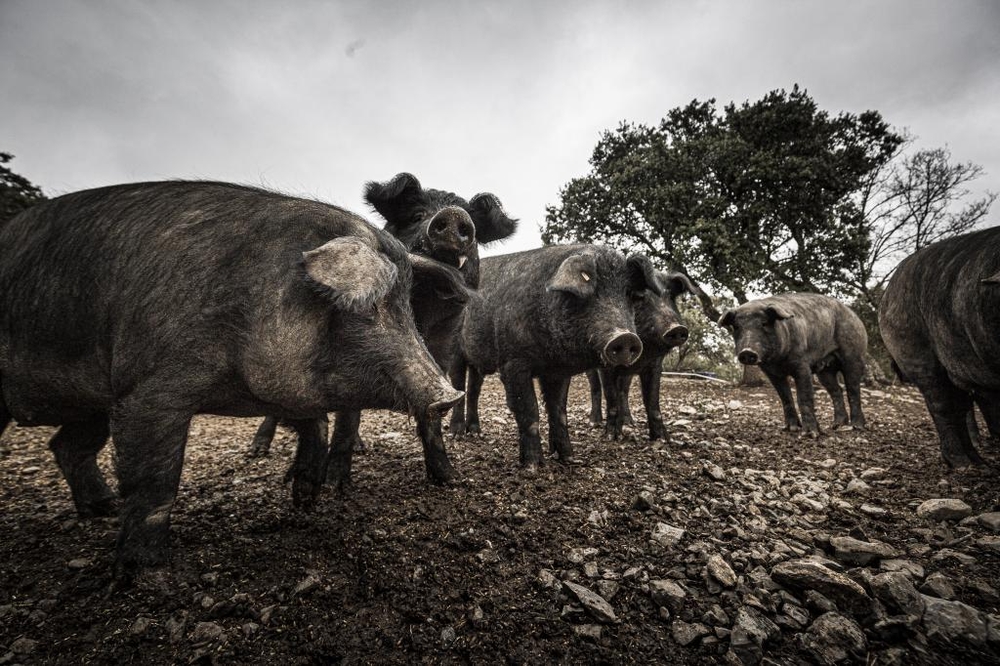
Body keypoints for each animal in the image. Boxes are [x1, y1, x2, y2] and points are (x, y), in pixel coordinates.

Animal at [450, 243, 660, 466]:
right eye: (591, 293)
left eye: (629, 295)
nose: (625, 337)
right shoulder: (513, 363)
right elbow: (528, 409)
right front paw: (533, 466)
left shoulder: (558, 371)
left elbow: (558, 410)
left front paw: (569, 459)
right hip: (454, 350)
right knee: (458, 387)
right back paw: (457, 435)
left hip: (476, 360)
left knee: (473, 390)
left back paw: (476, 432)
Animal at [720, 294, 868, 434]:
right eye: (737, 327)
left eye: (764, 323)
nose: (747, 351)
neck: (778, 361)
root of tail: (855, 316)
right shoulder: (771, 372)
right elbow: (785, 397)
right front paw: (790, 429)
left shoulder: (802, 364)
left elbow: (804, 397)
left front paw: (810, 434)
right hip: (824, 370)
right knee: (836, 390)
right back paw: (836, 425)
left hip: (854, 354)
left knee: (853, 389)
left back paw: (857, 427)